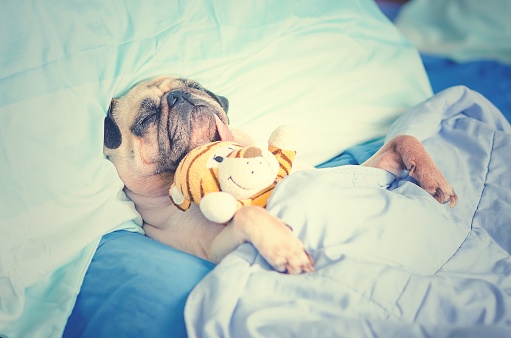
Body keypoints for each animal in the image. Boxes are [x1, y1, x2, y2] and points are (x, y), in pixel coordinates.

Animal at [102, 76, 458, 274]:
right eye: (146, 119)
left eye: (195, 86)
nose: (179, 97)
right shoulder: (214, 251)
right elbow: (250, 216)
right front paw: (285, 247)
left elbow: (404, 139)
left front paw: (435, 180)